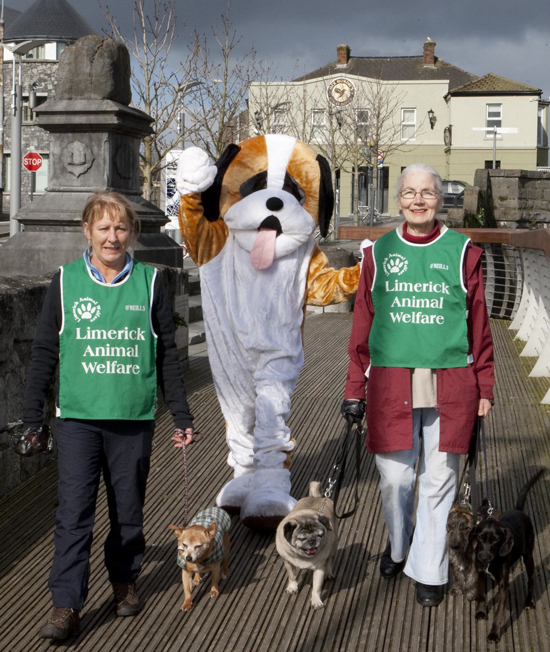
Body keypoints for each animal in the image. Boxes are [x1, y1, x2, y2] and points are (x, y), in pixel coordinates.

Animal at [470, 468, 548, 640]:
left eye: (496, 540)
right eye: (480, 537)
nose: (484, 557)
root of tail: (519, 511)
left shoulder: (503, 586)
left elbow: (498, 613)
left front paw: (493, 633)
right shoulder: (479, 573)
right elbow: (481, 594)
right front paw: (480, 612)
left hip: (528, 556)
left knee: (531, 579)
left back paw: (529, 601)